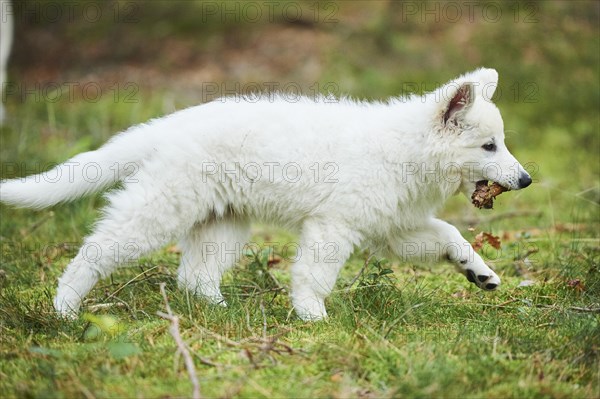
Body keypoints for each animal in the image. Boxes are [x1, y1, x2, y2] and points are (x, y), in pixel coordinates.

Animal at [2, 67, 532, 320]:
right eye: (489, 145)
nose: (526, 180)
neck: (406, 149)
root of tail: (169, 125)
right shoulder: (333, 225)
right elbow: (315, 275)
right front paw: (313, 316)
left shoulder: (391, 225)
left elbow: (447, 234)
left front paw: (478, 271)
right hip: (162, 206)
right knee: (97, 250)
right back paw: (65, 308)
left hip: (224, 222)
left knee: (195, 276)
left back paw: (222, 312)